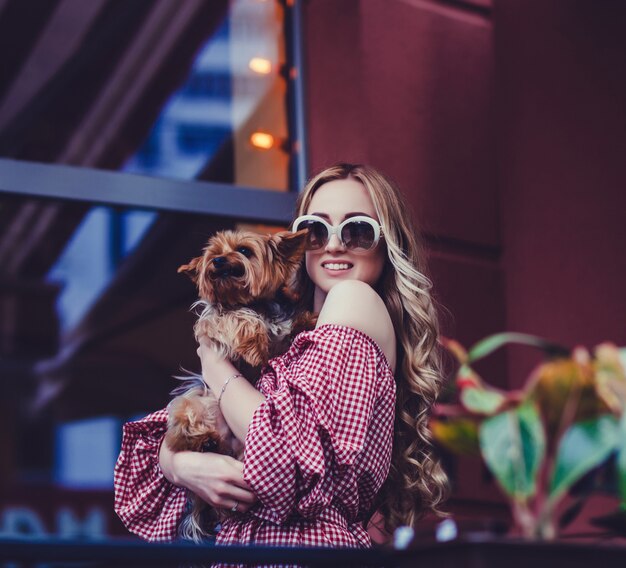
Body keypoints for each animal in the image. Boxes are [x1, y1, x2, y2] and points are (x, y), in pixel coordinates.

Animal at [165, 227, 314, 540]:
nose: (218, 261)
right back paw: (202, 440)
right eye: (213, 253)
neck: (254, 302)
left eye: (244, 250)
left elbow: (290, 327)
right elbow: (235, 317)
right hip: (197, 398)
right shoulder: (212, 320)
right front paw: (254, 346)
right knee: (180, 431)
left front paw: (308, 319)